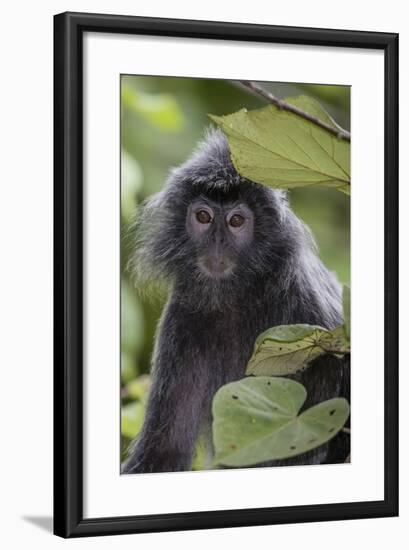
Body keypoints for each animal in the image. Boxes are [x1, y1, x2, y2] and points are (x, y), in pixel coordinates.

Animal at [120, 129, 348, 474]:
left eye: (236, 221)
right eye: (203, 217)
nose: (217, 242)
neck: (236, 298)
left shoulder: (312, 310)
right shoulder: (181, 318)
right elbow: (165, 450)